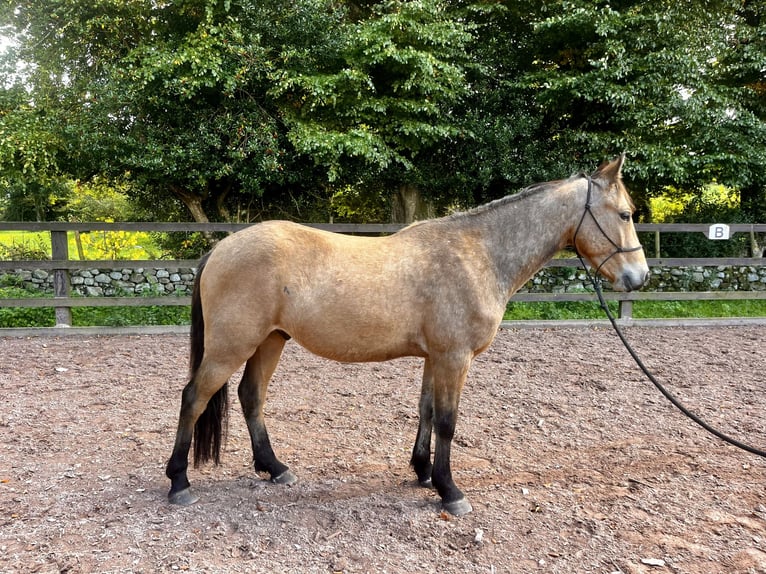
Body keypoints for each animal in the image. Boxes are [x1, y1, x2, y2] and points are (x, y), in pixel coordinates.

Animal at [165, 156, 652, 516]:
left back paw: (275, 468)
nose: (639, 276)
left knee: (251, 397)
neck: (478, 253)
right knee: (194, 398)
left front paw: (422, 472)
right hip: (231, 346)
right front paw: (450, 491)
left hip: (270, 341)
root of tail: (221, 247)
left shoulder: (435, 357)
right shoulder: (455, 357)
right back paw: (179, 482)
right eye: (625, 214)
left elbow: (426, 411)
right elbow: (448, 421)